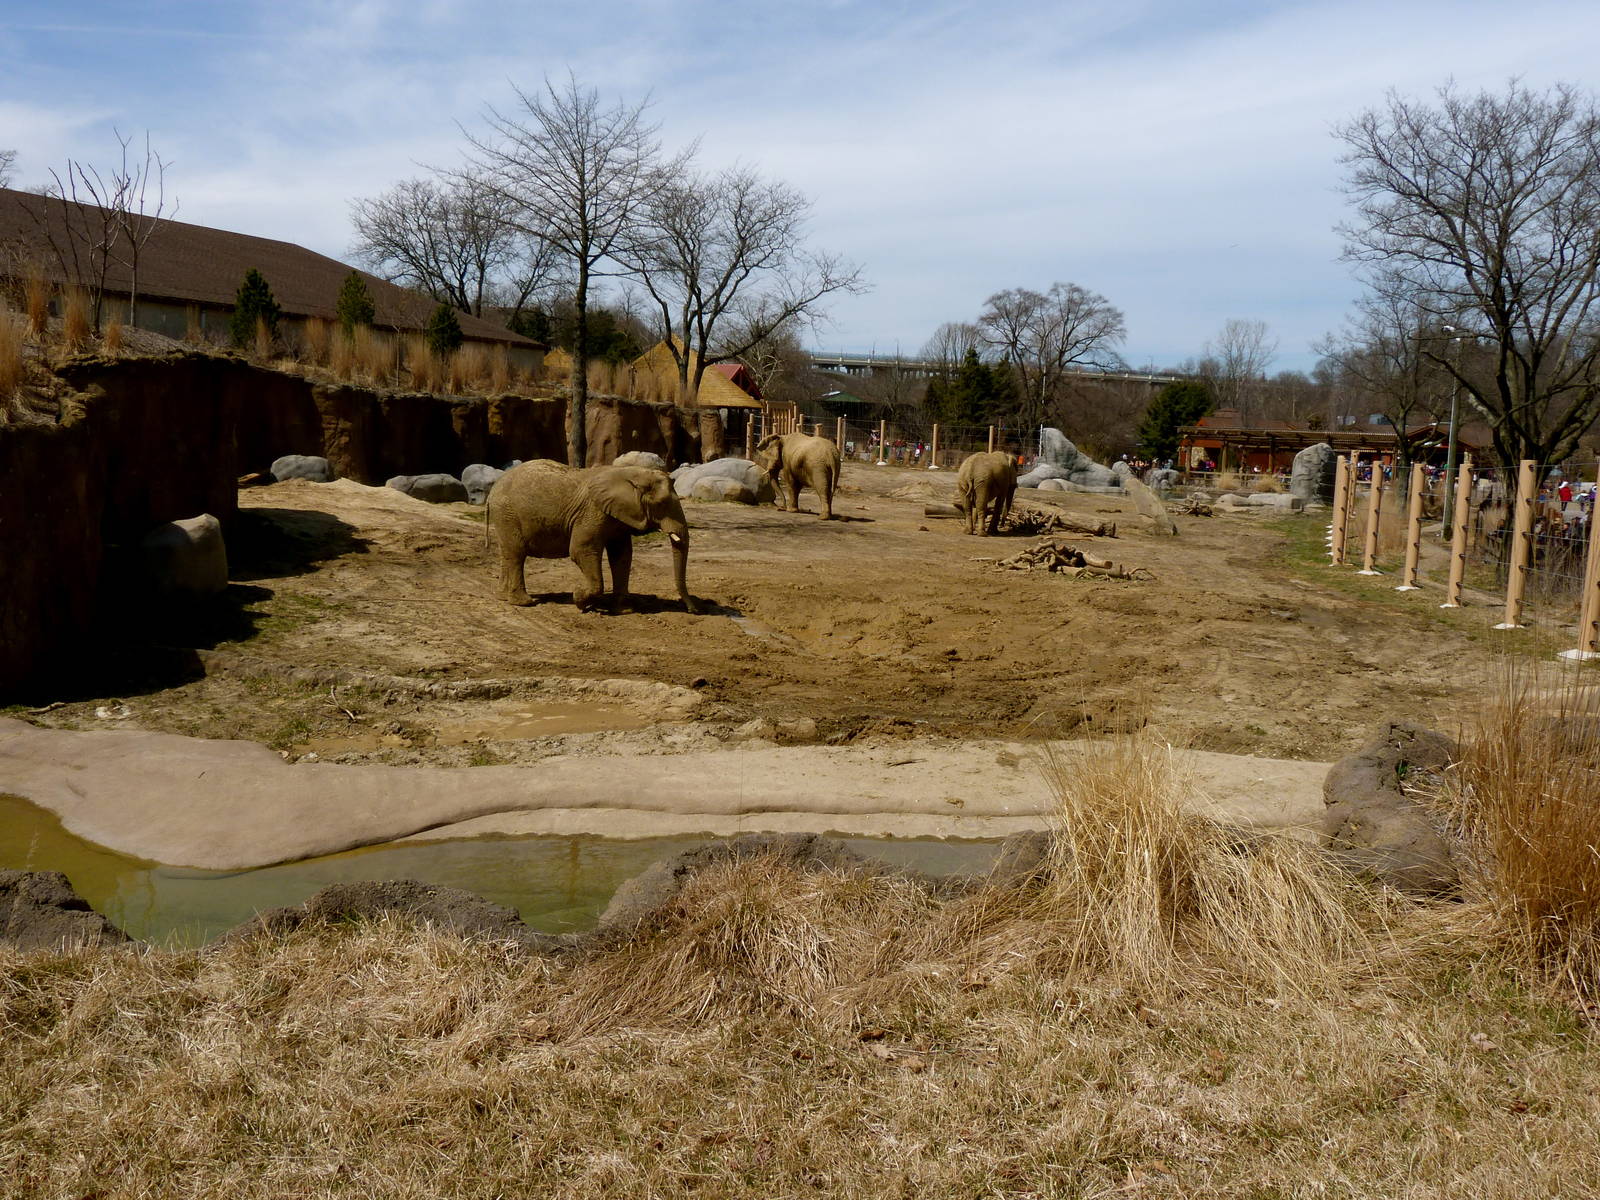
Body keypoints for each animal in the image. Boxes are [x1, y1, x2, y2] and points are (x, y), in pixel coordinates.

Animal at [485, 460, 699, 612]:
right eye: (661, 504)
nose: (693, 610)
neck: (630, 473)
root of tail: (492, 492)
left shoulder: (617, 516)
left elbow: (622, 555)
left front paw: (624, 610)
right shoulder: (592, 512)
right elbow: (581, 550)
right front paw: (579, 599)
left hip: (504, 516)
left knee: (507, 553)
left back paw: (503, 597)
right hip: (507, 514)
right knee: (516, 554)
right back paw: (525, 603)